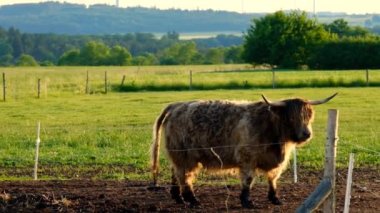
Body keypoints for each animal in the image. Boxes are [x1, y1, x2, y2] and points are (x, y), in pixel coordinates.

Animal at [150, 93, 336, 208]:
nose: (306, 134)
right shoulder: (247, 159)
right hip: (185, 156)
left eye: (309, 116)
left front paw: (275, 198)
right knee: (184, 177)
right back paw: (192, 200)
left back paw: (178, 197)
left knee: (175, 173)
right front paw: (247, 201)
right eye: (291, 118)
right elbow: (248, 180)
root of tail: (176, 105)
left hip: (178, 156)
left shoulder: (274, 162)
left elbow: (272, 179)